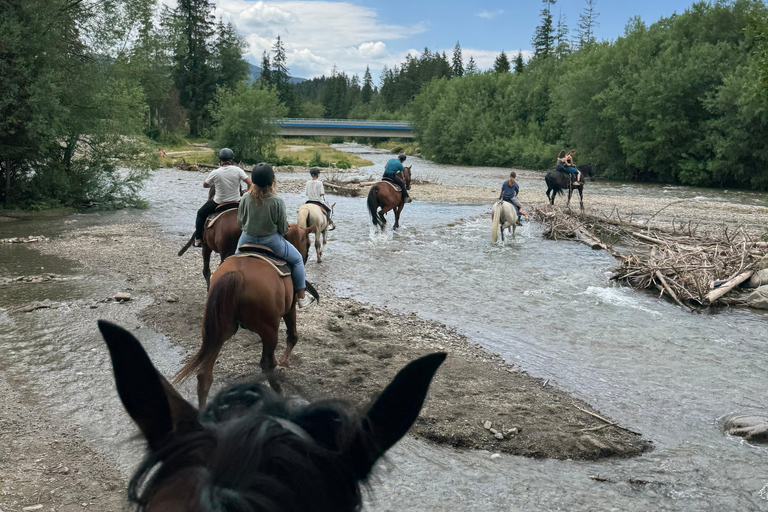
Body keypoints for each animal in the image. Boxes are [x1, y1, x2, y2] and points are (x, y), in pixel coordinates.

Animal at [173, 223, 316, 408]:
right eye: (309, 244)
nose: (304, 258)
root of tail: (237, 275)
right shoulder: (290, 309)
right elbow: (292, 336)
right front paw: (284, 362)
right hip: (269, 330)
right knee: (266, 364)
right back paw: (279, 391)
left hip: (217, 331)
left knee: (204, 374)